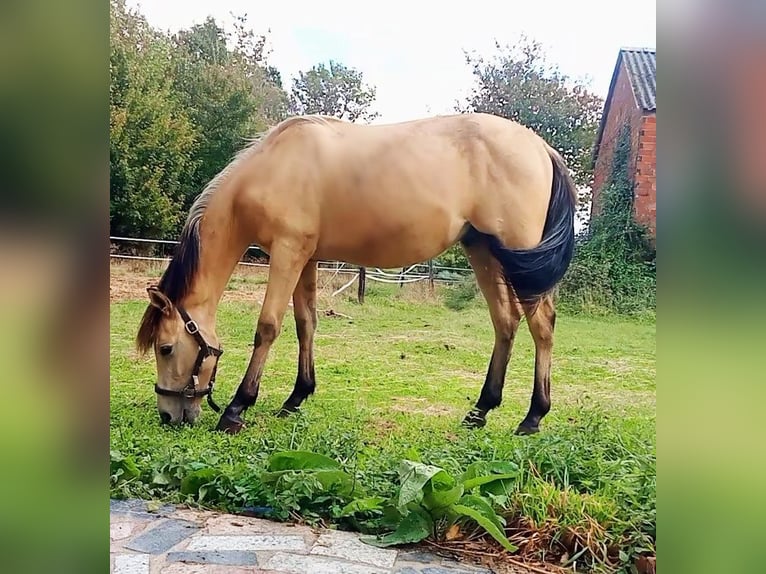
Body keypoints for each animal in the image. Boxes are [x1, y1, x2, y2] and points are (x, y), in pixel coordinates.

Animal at [135, 112, 576, 436]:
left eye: (166, 348)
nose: (168, 416)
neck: (274, 166)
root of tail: (541, 147)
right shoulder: (307, 258)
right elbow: (306, 323)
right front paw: (296, 397)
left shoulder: (288, 253)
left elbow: (268, 326)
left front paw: (237, 407)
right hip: (483, 250)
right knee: (506, 322)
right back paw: (481, 410)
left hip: (520, 254)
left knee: (542, 325)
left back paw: (532, 417)